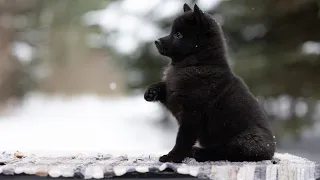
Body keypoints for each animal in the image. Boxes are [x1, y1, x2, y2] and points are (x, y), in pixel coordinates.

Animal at [144, 3, 276, 163]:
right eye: (172, 32)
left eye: (178, 35)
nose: (156, 41)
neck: (198, 64)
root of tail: (271, 151)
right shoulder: (172, 95)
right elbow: (163, 86)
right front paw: (151, 92)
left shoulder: (192, 113)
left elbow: (183, 139)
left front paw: (172, 157)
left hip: (246, 141)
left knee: (226, 152)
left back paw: (200, 153)